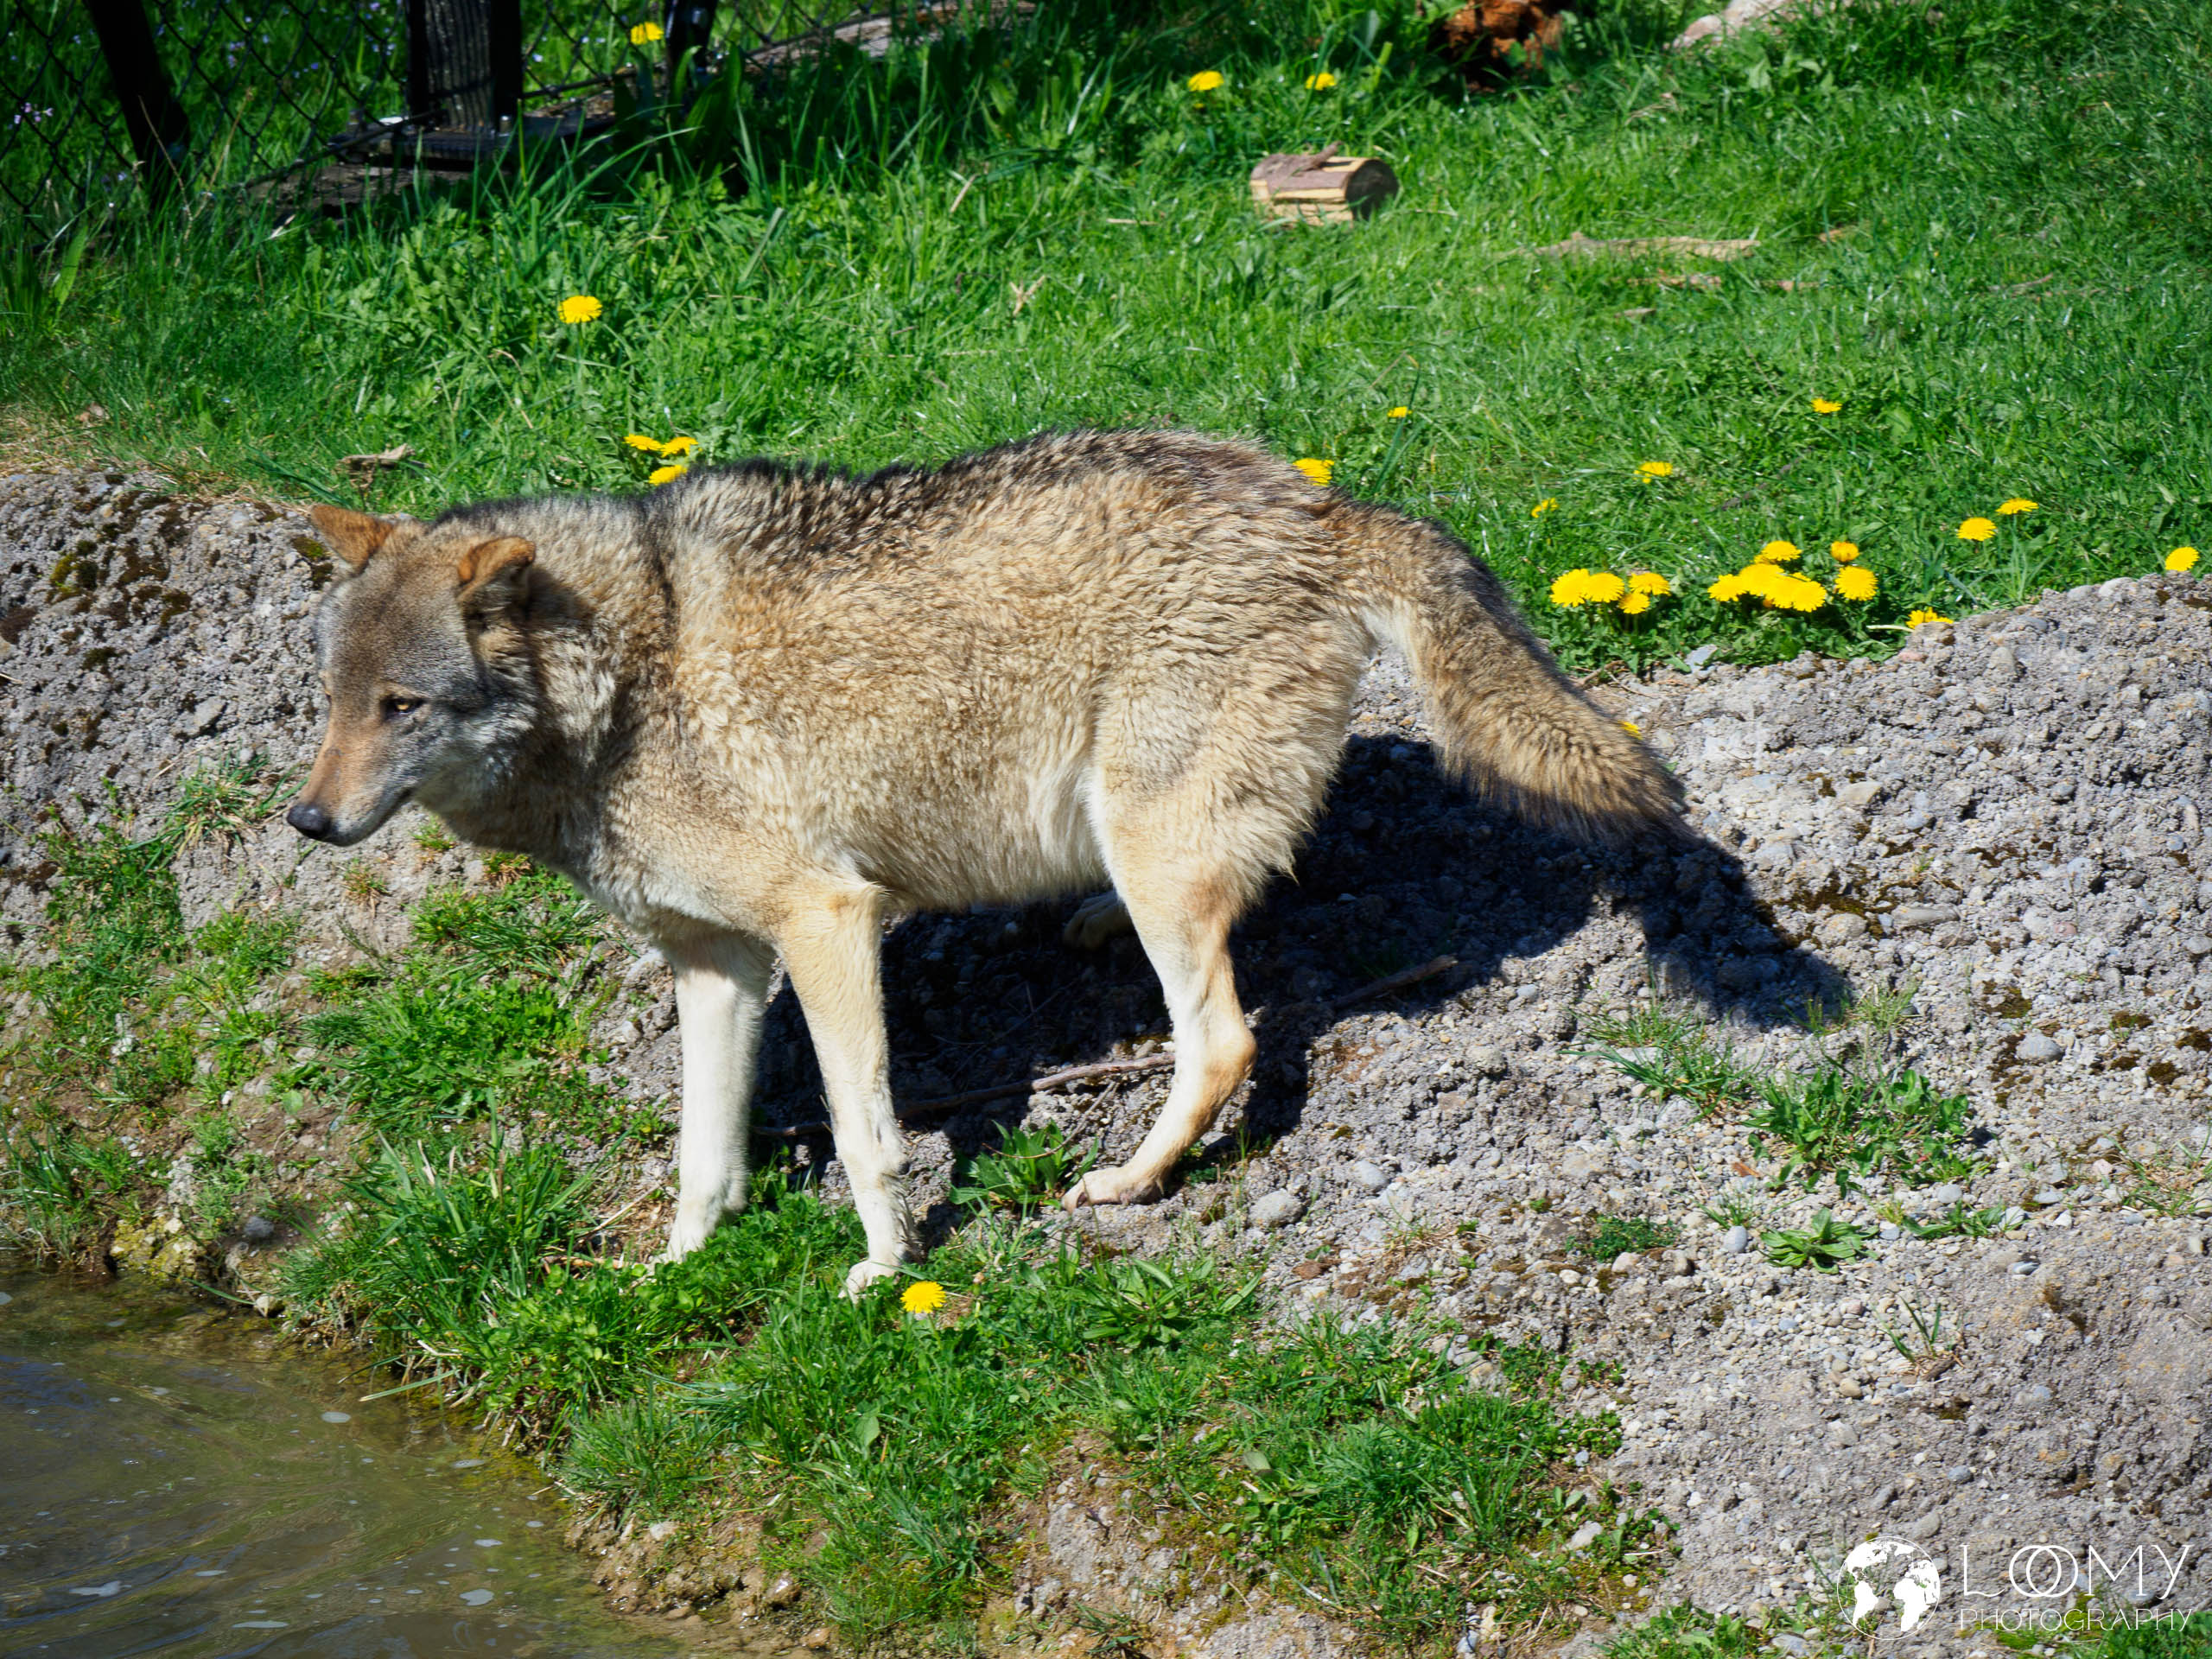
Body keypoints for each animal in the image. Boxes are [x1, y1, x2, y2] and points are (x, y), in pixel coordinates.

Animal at [287, 430, 1682, 1295]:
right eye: (335, 702)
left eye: (403, 709)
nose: (305, 823)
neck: (623, 685)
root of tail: (1317, 500)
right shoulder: (717, 963)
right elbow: (703, 1156)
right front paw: (675, 1271)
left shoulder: (827, 921)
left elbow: (863, 1134)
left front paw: (886, 1270)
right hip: (1142, 844)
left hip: (1153, 857)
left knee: (1222, 1040)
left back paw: (1126, 1181)